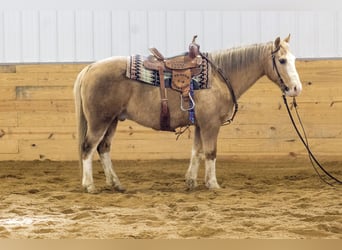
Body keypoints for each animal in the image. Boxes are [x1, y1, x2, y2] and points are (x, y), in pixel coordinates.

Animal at [73, 34, 300, 193]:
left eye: (294, 58)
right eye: (282, 60)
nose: (296, 89)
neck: (218, 77)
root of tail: (90, 68)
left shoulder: (200, 124)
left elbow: (196, 152)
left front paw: (191, 181)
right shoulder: (210, 125)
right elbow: (210, 152)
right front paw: (213, 184)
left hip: (112, 121)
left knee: (103, 148)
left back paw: (116, 184)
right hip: (99, 121)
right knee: (88, 148)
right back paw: (89, 185)